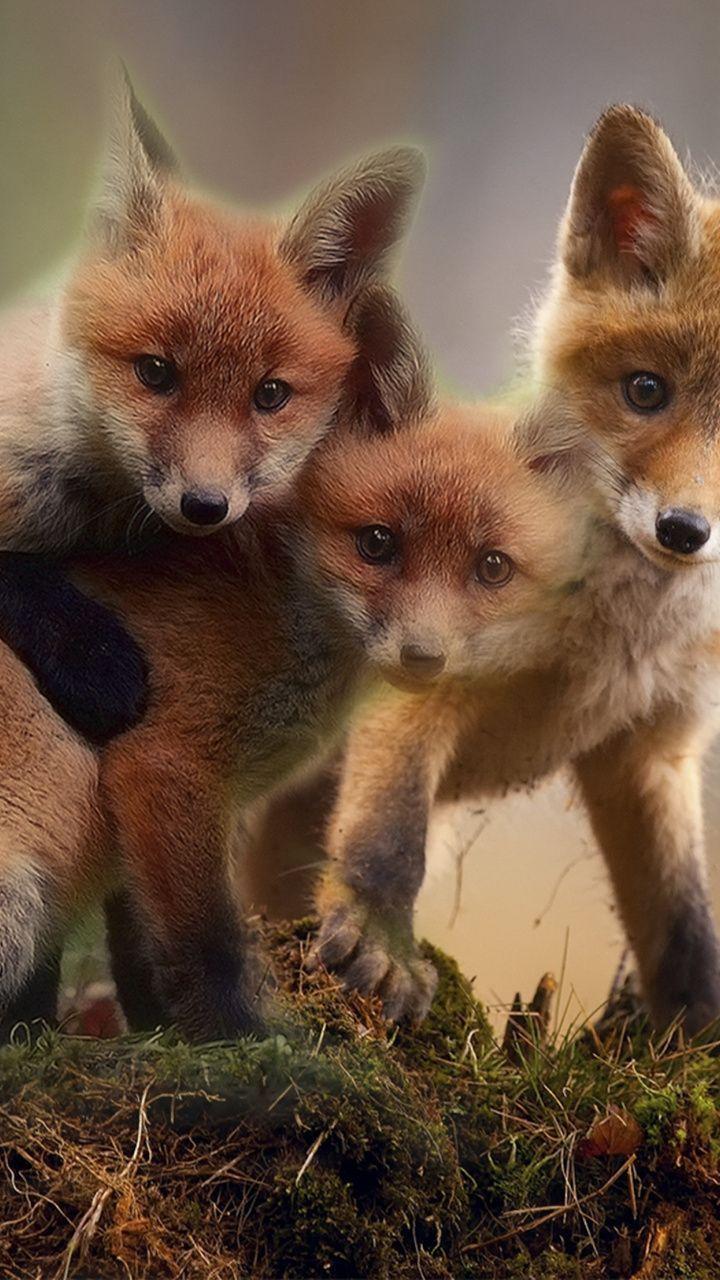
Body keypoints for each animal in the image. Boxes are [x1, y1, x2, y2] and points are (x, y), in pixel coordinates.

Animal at [0, 73, 424, 740]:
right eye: (155, 372)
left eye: (270, 395)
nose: (205, 506)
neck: (92, 516)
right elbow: (19, 574)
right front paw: (92, 658)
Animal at [0, 287, 588, 1040]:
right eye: (377, 543)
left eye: (492, 567)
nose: (424, 656)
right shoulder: (165, 766)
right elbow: (203, 944)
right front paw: (240, 1044)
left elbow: (143, 952)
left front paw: (166, 1031)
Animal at [300, 106, 720, 1036]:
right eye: (646, 391)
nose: (684, 531)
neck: (609, 639)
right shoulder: (420, 668)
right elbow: (389, 838)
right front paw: (382, 945)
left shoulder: (650, 748)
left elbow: (683, 916)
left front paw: (696, 1025)